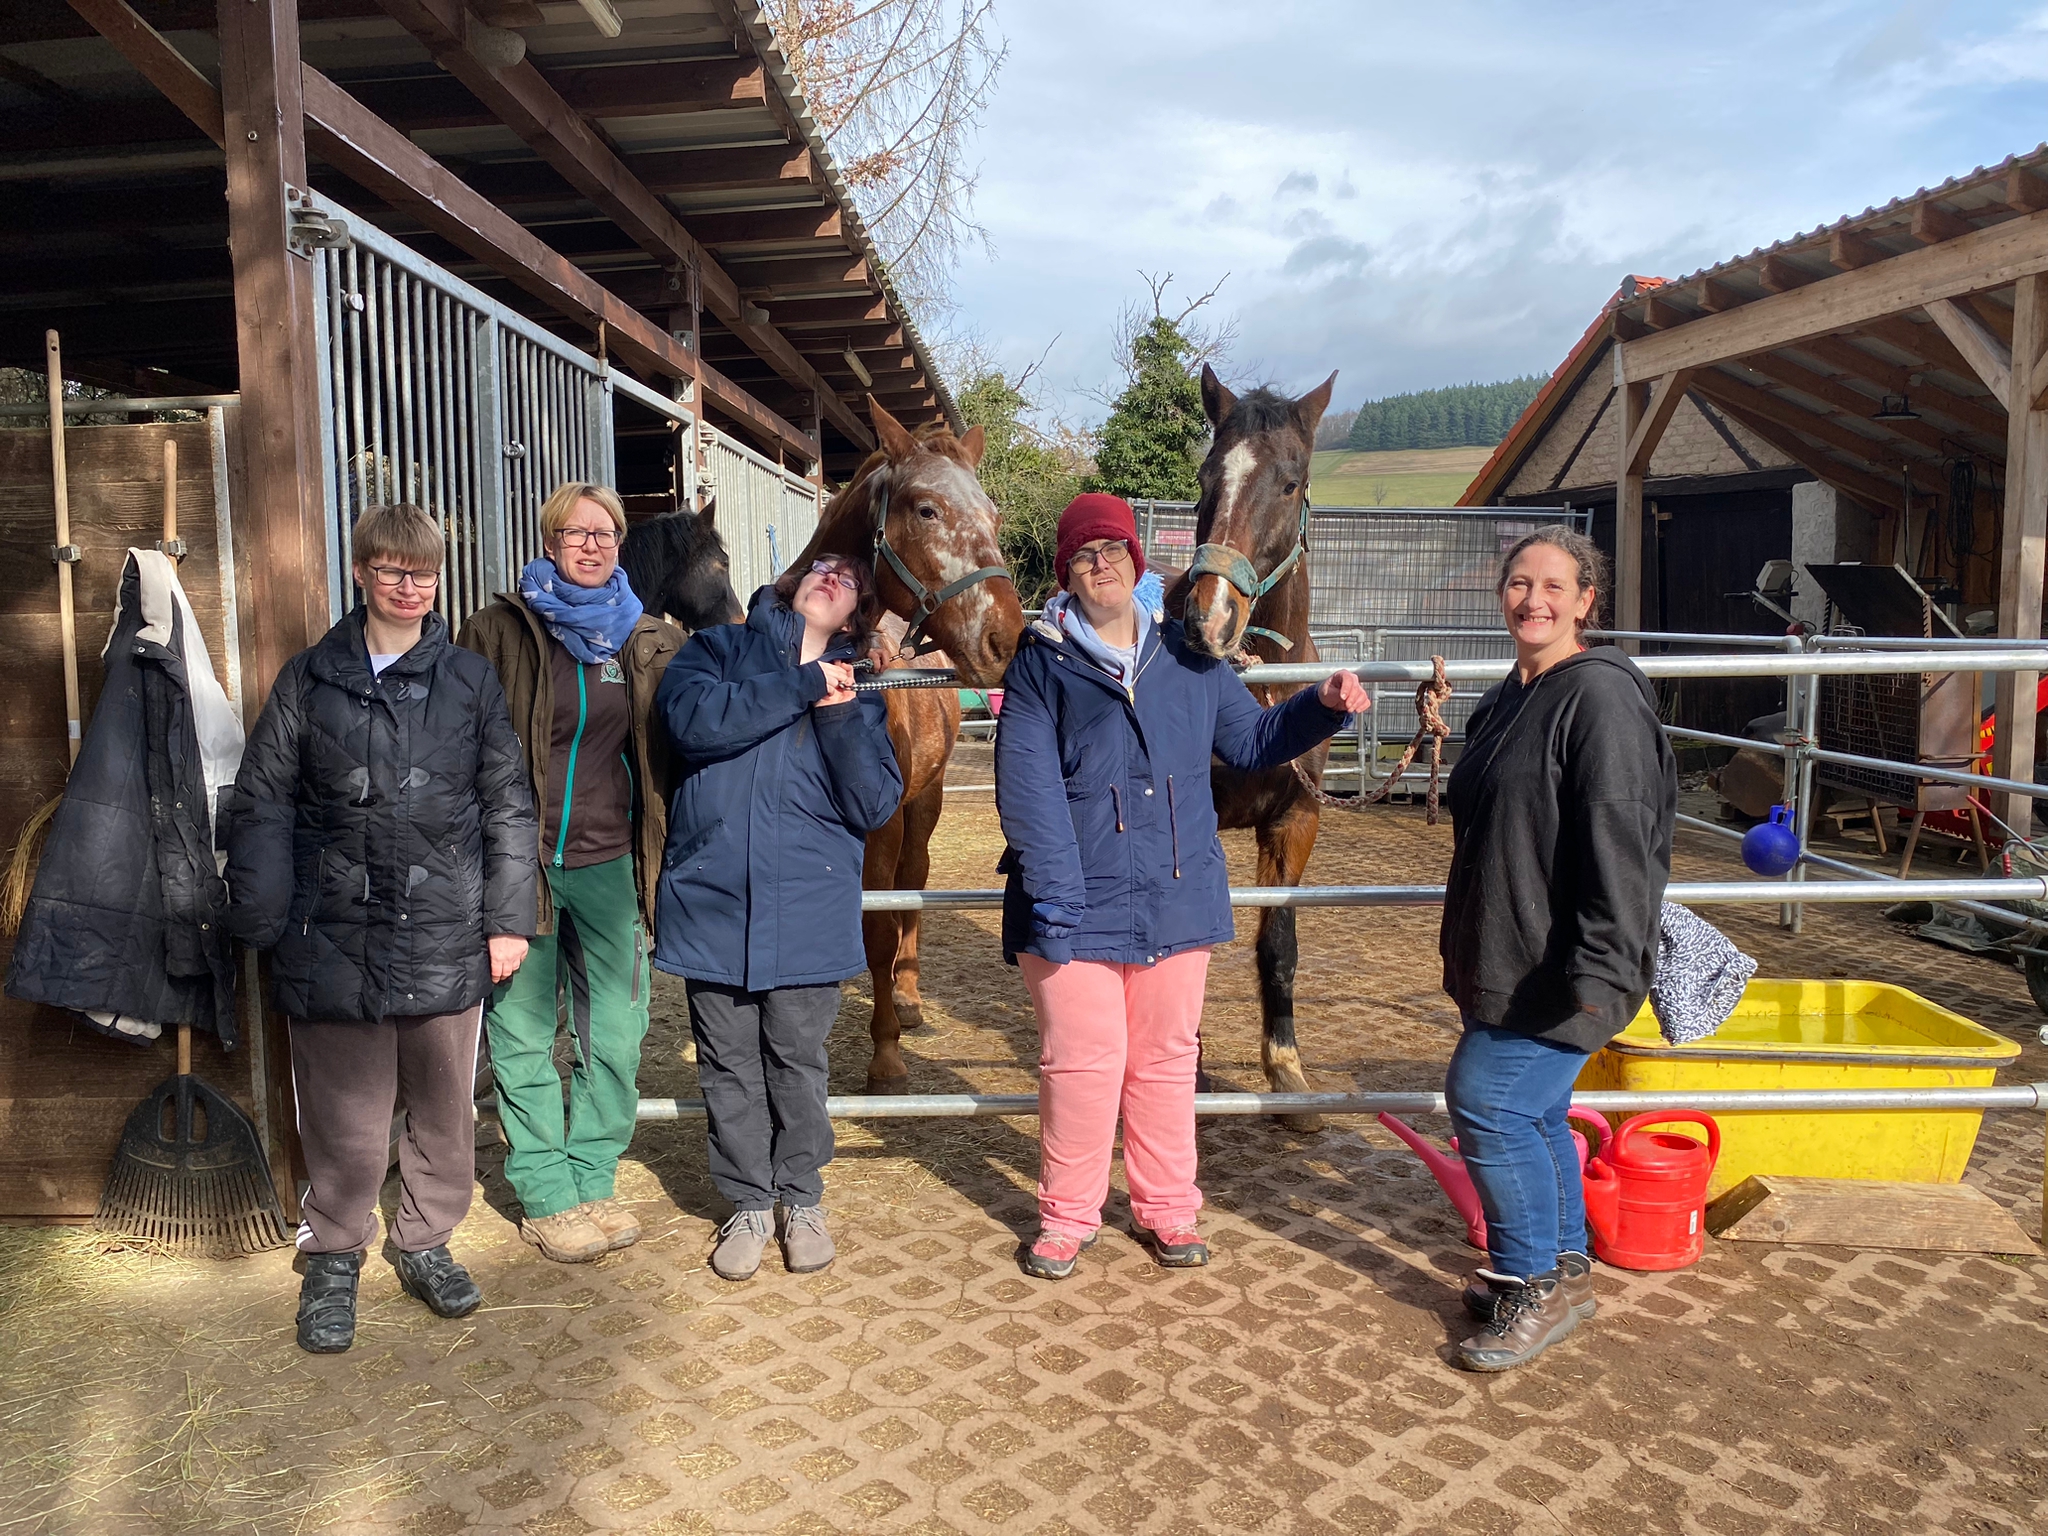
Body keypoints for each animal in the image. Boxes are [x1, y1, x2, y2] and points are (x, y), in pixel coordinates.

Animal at [794, 397, 1032, 1097]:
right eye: (926, 509)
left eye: (995, 516)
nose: (1008, 639)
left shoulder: (884, 823)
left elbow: (881, 923)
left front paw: (886, 1055)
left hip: (922, 805)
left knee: (914, 885)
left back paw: (907, 996)